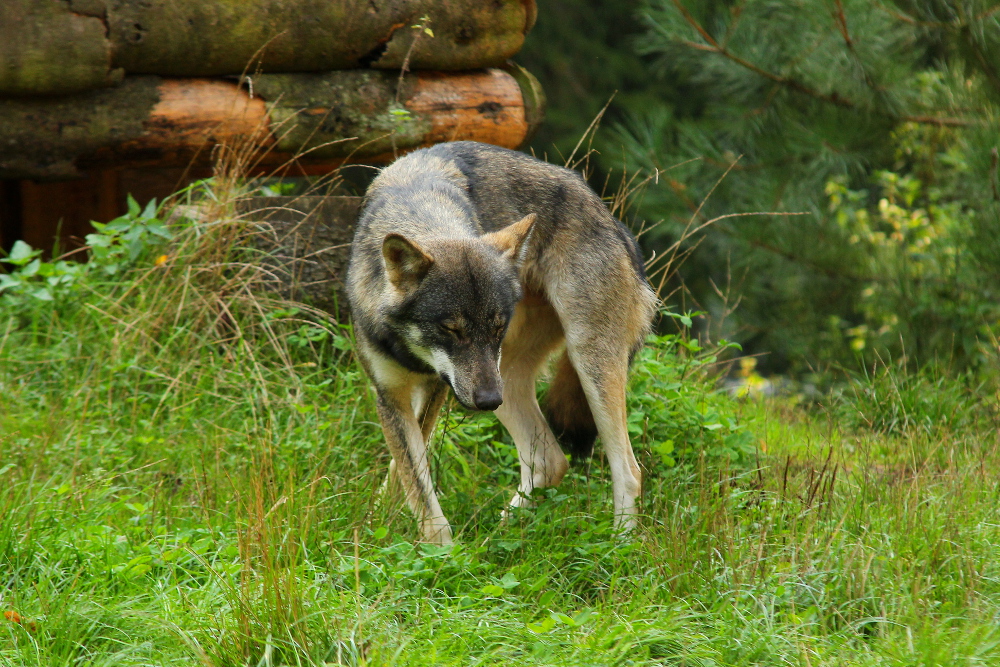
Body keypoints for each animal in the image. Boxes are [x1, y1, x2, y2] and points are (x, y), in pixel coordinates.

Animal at [346, 141, 657, 545]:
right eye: (452, 329)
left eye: (496, 327)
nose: (489, 400)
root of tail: (615, 223)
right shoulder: (390, 394)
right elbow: (410, 478)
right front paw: (381, 523)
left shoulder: (435, 388)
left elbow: (418, 485)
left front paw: (440, 555)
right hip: (507, 374)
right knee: (550, 462)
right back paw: (493, 539)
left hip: (584, 364)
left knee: (629, 471)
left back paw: (617, 547)